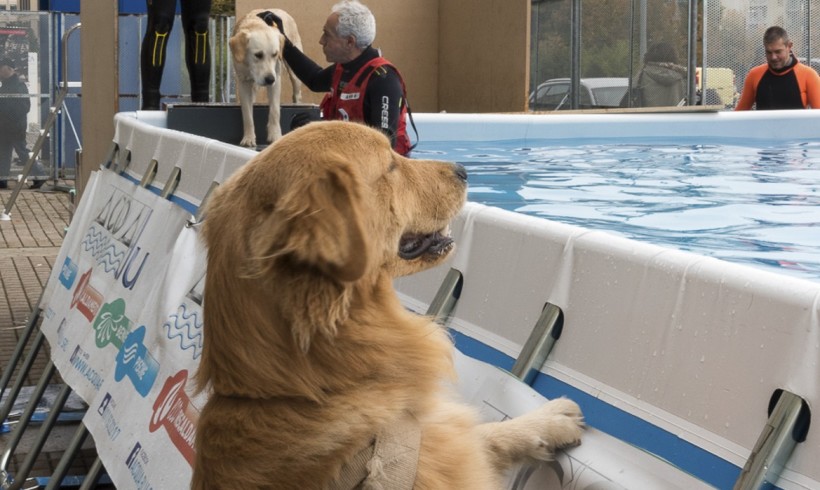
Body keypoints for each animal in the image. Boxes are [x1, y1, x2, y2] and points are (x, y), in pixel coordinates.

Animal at [229, 9, 302, 147]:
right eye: (258, 55)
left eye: (275, 54)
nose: (269, 79)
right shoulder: (243, 82)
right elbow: (247, 114)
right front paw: (249, 138)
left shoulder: (276, 80)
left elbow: (274, 111)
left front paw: (275, 136)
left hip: (294, 73)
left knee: (297, 93)